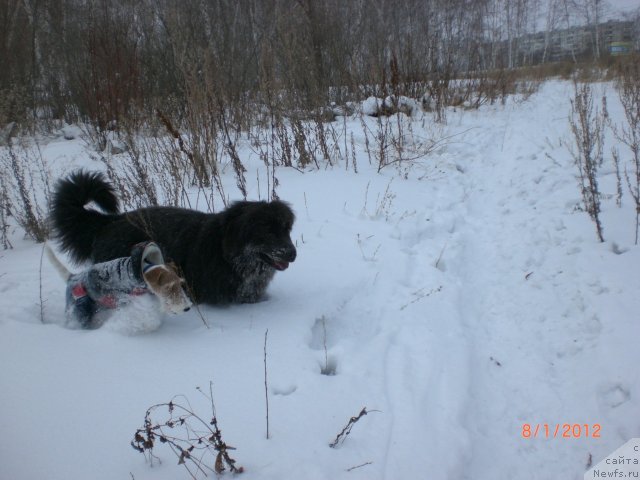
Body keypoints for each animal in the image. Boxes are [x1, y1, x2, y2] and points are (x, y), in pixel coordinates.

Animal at [45, 242, 191, 332]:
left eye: (180, 283)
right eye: (168, 287)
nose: (187, 308)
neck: (142, 274)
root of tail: (72, 277)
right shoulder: (130, 300)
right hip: (81, 309)